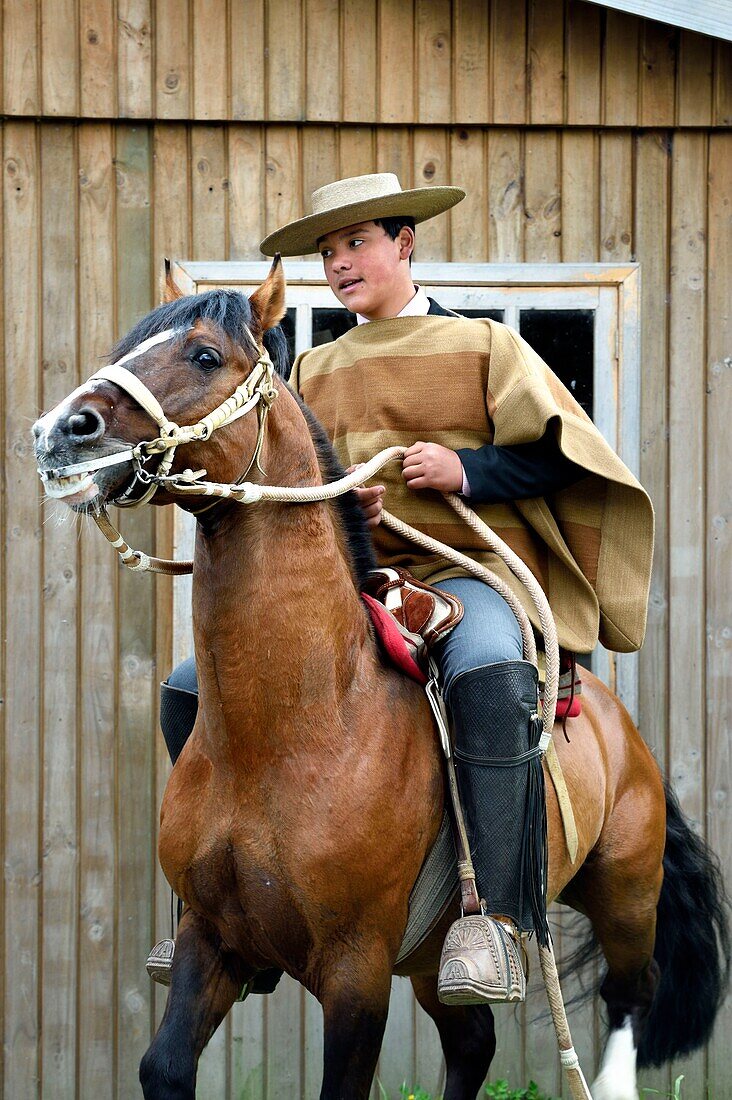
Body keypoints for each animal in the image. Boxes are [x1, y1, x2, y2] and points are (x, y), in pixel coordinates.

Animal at [32, 259, 726, 1100]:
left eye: (203, 355)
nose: (59, 431)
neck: (301, 725)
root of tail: (609, 716)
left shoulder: (354, 971)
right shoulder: (211, 938)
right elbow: (162, 1066)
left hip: (624, 895)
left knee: (630, 997)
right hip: (432, 963)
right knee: (473, 1043)